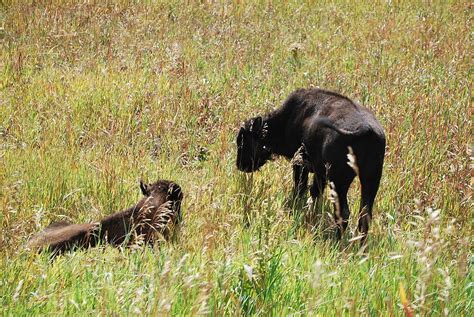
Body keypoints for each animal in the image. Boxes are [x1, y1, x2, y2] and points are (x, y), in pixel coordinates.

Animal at [237, 87, 386, 243]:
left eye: (243, 140)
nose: (240, 164)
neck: (289, 117)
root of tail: (366, 129)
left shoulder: (301, 164)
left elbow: (301, 186)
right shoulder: (320, 174)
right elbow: (314, 191)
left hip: (339, 182)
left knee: (343, 213)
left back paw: (337, 241)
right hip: (371, 179)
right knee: (364, 215)